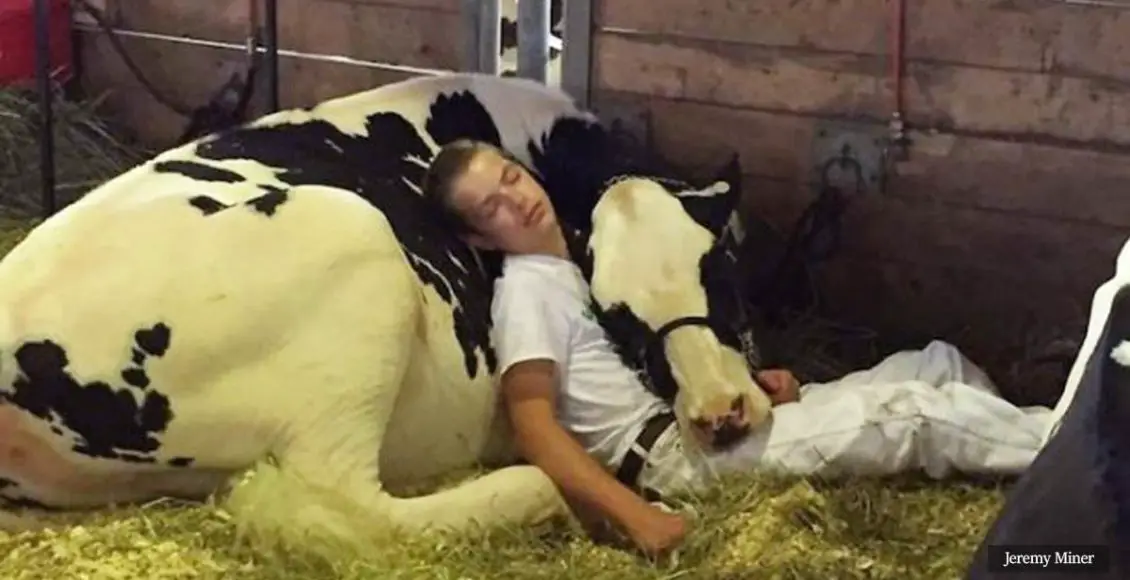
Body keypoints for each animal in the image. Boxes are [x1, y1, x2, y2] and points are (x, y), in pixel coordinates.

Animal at [0, 72, 768, 556]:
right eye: (615, 317)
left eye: (722, 272)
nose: (721, 411)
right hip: (355, 251)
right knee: (348, 505)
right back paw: (533, 492)